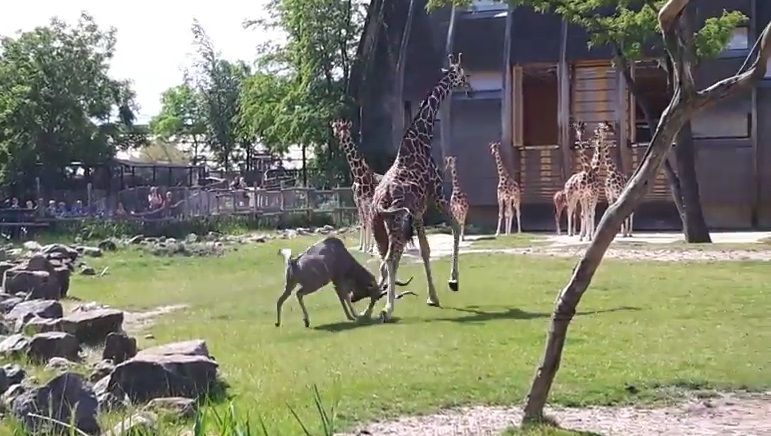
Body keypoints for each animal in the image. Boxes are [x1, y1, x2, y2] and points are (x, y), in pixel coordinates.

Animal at [331, 119, 379, 252]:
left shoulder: (367, 200)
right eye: (336, 128)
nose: (341, 138)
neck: (359, 176)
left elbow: (367, 222)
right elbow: (363, 222)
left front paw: (368, 248)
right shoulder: (358, 200)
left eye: (346, 129)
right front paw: (363, 247)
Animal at [370, 53, 471, 323]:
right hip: (396, 223)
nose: (469, 88)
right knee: (391, 259)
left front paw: (432, 296)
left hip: (379, 227)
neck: (422, 137)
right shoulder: (436, 196)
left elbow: (425, 250)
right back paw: (386, 309)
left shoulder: (417, 213)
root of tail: (379, 204)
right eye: (464, 74)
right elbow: (455, 228)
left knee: (382, 260)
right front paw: (452, 282)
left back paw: (368, 308)